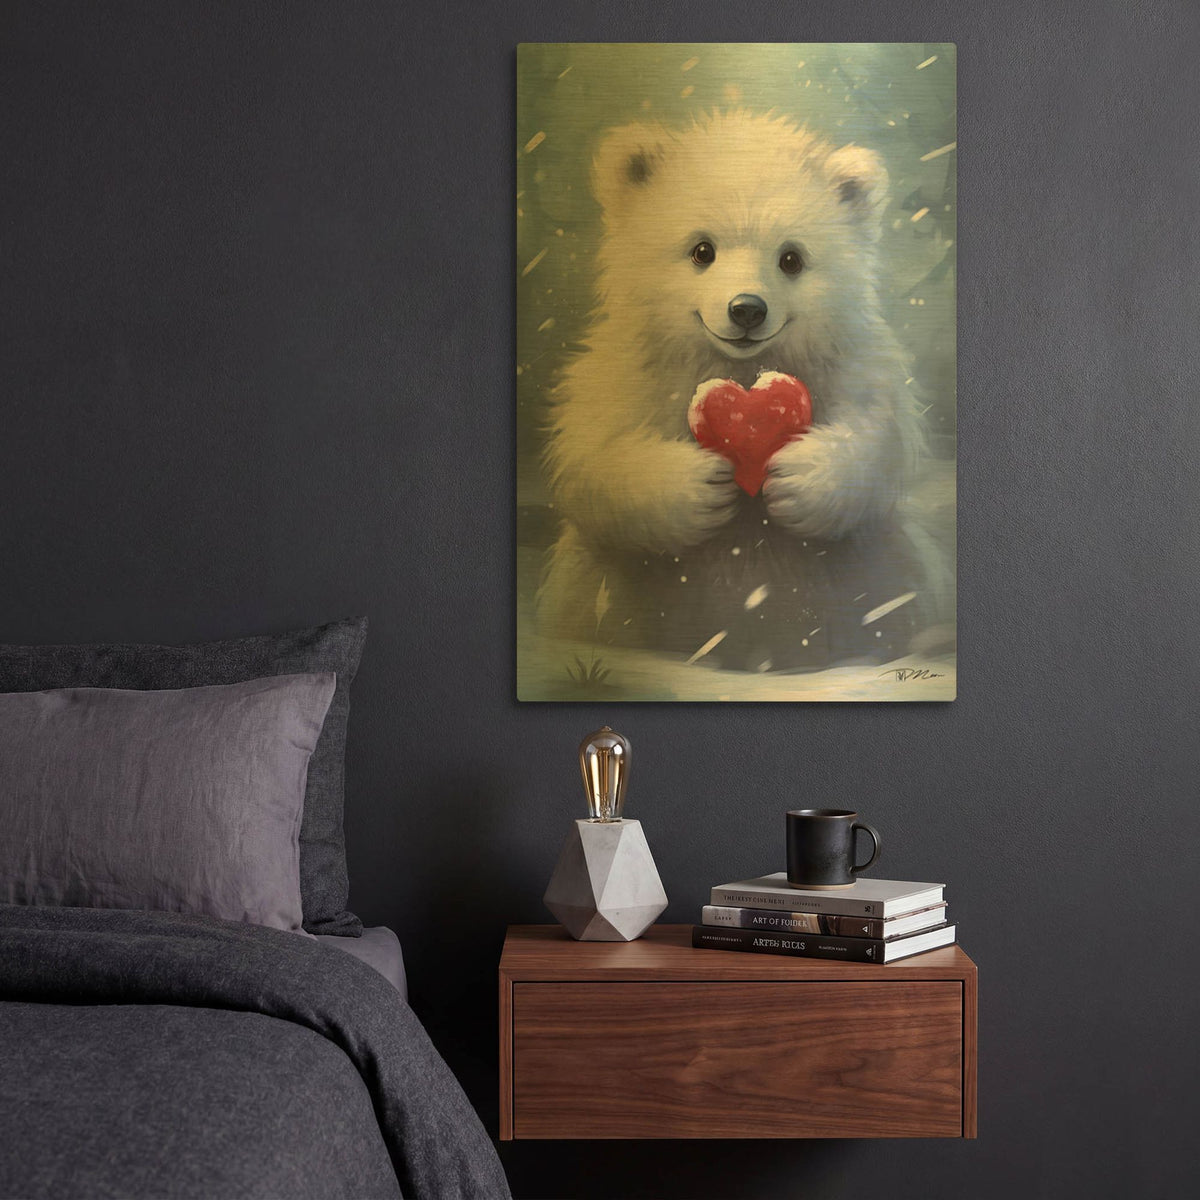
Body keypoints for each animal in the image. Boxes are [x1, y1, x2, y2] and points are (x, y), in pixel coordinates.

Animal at [536, 110, 951, 674]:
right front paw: (701, 485)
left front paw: (796, 477)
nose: (747, 309)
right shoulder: (627, 371)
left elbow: (878, 438)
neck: (741, 367)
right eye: (701, 250)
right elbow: (591, 459)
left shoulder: (850, 363)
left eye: (791, 258)